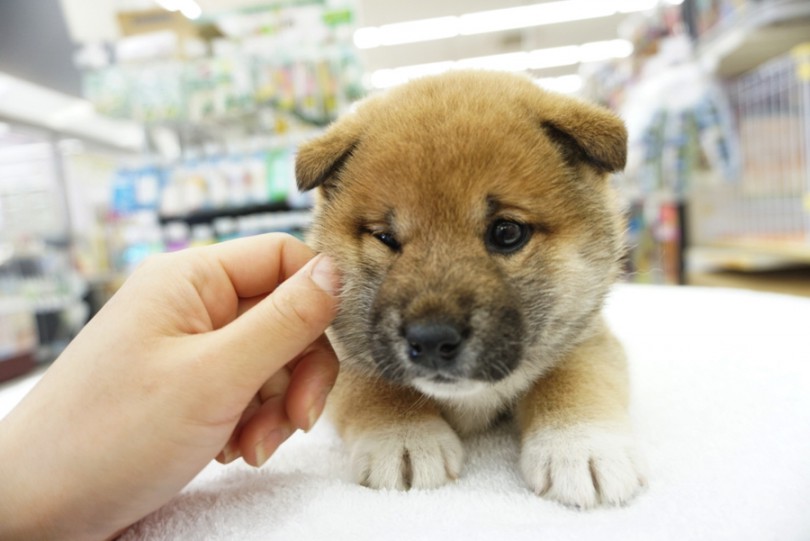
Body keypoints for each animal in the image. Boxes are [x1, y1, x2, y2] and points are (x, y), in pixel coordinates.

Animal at [296, 70, 644, 506]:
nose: (431, 339)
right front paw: (404, 436)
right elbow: (374, 387)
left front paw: (580, 445)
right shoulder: (343, 354)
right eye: (385, 238)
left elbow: (574, 378)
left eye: (507, 232)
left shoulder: (586, 337)